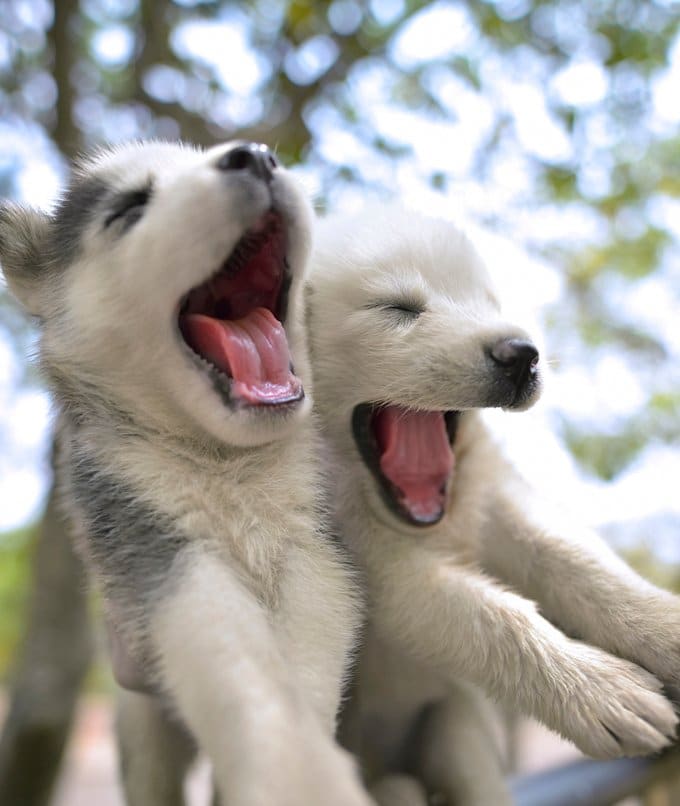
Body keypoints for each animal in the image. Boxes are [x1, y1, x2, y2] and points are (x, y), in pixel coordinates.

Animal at [0, 140, 372, 806]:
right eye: (129, 208)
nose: (257, 155)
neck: (226, 463)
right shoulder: (156, 546)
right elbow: (235, 664)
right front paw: (294, 771)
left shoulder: (316, 549)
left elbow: (307, 655)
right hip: (140, 725)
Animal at [310, 204, 680, 806]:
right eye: (398, 308)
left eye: (491, 305)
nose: (521, 355)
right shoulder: (375, 564)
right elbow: (488, 613)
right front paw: (602, 693)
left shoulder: (494, 496)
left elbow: (573, 559)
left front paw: (665, 627)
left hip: (453, 722)